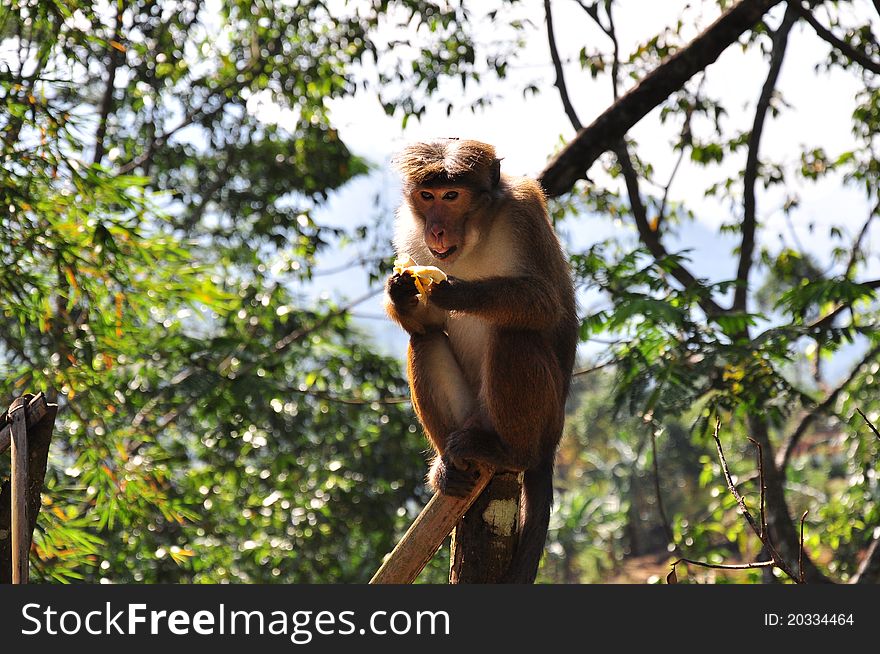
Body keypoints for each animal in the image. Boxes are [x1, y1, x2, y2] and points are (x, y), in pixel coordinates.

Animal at [384, 137, 576, 584]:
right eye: (428, 196)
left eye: (452, 196)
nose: (436, 229)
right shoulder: (409, 230)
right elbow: (427, 323)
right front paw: (403, 290)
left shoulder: (524, 212)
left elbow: (547, 303)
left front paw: (456, 292)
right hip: (469, 412)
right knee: (425, 340)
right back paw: (448, 467)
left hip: (539, 416)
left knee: (513, 333)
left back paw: (512, 454)